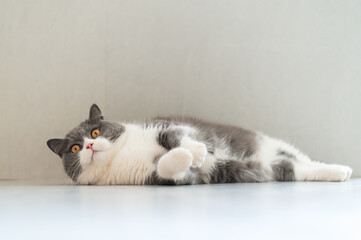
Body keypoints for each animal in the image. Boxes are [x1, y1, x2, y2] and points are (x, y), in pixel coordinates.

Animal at [46, 104, 352, 185]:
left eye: (95, 131)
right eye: (74, 149)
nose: (89, 146)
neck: (120, 155)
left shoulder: (165, 125)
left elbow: (173, 135)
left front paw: (198, 151)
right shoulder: (154, 178)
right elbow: (169, 168)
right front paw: (185, 157)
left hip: (271, 144)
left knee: (303, 159)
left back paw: (342, 169)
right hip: (274, 168)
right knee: (296, 168)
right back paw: (338, 172)